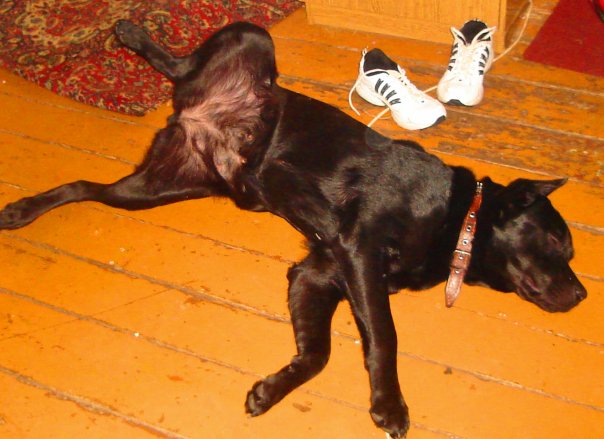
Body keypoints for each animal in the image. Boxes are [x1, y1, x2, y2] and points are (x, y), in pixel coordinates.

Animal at [0, 21, 587, 437]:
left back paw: (22, 209)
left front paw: (272, 390)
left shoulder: (317, 272)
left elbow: (318, 353)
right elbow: (385, 336)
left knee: (82, 184)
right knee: (180, 63)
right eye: (558, 243)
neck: (456, 216)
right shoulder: (358, 253)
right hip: (253, 35)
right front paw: (389, 404)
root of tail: (197, 113)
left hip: (157, 187)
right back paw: (132, 32)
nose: (582, 295)